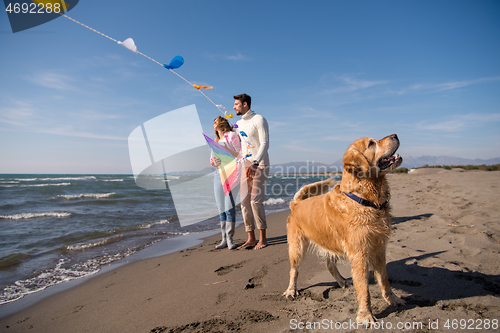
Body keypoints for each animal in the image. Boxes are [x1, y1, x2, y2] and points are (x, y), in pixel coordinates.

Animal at [284, 133, 404, 322]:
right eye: (371, 143)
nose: (395, 135)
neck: (364, 199)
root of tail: (296, 204)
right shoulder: (359, 254)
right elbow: (363, 289)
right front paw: (366, 315)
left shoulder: (379, 248)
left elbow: (384, 280)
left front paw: (393, 300)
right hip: (297, 248)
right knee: (294, 270)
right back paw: (291, 290)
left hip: (330, 242)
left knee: (330, 266)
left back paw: (341, 282)